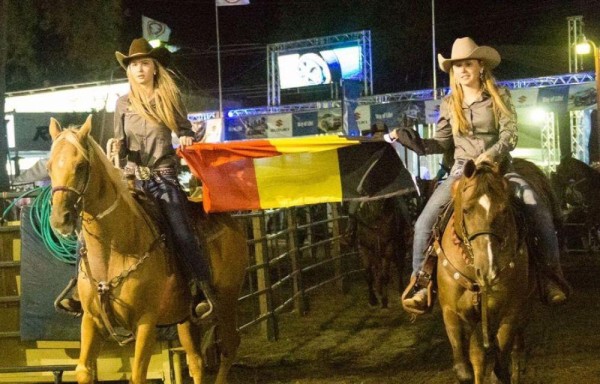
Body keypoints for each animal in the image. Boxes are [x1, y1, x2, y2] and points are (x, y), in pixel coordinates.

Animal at [46, 115, 248, 384]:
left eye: (80, 166)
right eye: (49, 167)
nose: (60, 219)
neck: (116, 249)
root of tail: (229, 220)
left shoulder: (145, 323)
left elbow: (137, 374)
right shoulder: (91, 320)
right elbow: (83, 370)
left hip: (227, 300)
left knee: (229, 347)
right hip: (186, 317)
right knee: (196, 361)